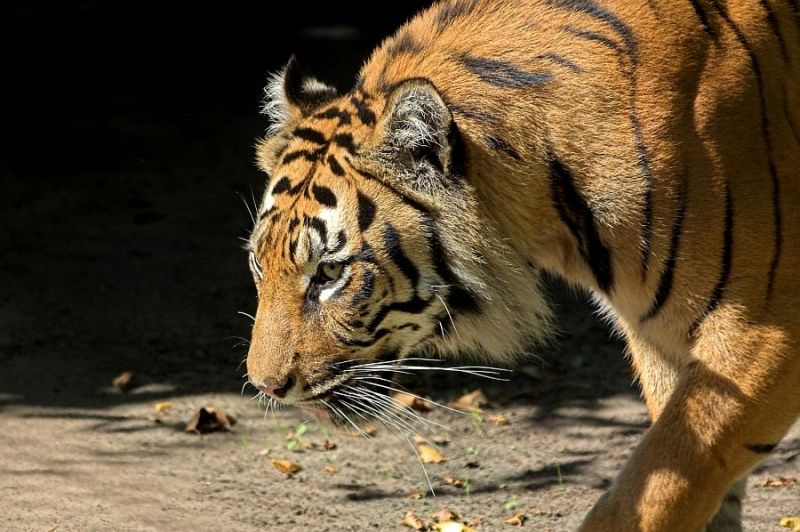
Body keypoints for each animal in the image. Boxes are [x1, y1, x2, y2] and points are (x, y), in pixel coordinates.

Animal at [243, 0, 800, 529]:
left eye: (330, 273)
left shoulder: (761, 330)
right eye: (257, 262)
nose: (264, 386)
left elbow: (655, 490)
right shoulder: (662, 339)